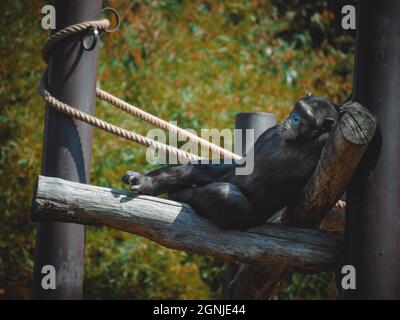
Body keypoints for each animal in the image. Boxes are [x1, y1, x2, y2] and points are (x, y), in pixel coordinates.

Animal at [123, 93, 340, 230]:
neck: (302, 140)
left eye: (305, 116)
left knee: (225, 195)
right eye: (297, 109)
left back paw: (183, 194)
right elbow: (240, 164)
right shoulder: (271, 132)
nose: (293, 118)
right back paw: (146, 183)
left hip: (249, 218)